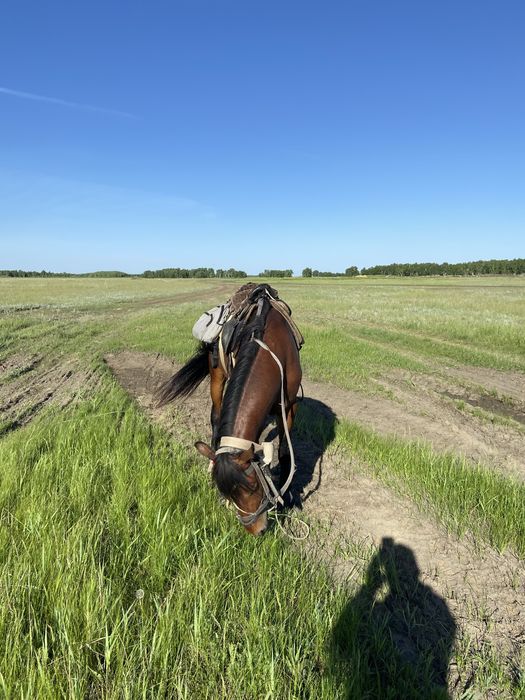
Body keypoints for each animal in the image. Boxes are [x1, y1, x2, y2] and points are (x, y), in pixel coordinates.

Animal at [157, 286, 302, 535]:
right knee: (215, 417)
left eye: (254, 487)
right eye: (226, 492)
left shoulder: (289, 405)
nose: (256, 530)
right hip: (217, 374)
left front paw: (289, 496)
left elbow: (284, 449)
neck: (272, 349)